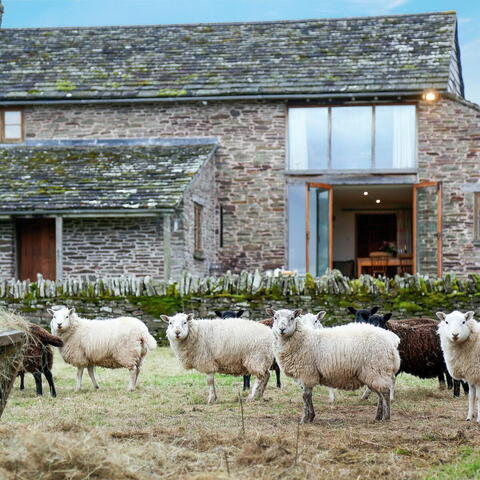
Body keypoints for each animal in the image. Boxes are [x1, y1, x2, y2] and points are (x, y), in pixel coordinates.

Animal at [268, 310, 400, 422]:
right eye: (275, 317)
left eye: (292, 318)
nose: (282, 329)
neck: (304, 338)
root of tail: (391, 340)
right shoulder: (306, 375)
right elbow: (308, 396)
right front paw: (311, 416)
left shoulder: (307, 373)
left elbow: (305, 396)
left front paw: (305, 419)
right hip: (372, 373)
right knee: (380, 394)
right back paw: (378, 416)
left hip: (377, 368)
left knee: (385, 393)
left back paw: (386, 418)